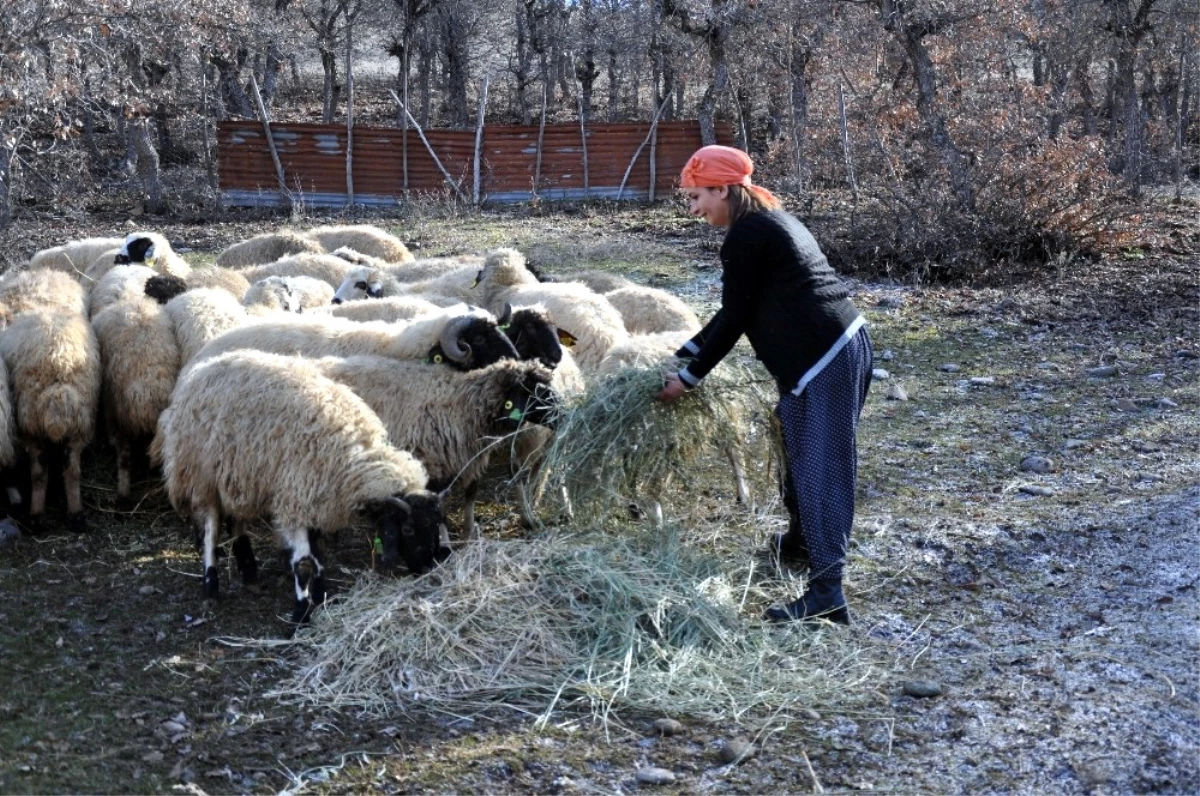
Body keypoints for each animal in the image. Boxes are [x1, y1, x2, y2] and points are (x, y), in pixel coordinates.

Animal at [0, 283, 100, 533]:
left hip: (30, 422)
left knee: (39, 471)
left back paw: (35, 515)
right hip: (79, 422)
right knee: (71, 470)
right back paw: (75, 515)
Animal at [154, 352, 446, 624]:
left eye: (435, 525)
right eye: (407, 529)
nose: (427, 567)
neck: (350, 460)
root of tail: (204, 366)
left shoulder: (314, 502)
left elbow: (318, 559)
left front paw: (319, 599)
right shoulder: (296, 498)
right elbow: (303, 564)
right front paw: (300, 616)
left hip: (240, 477)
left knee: (237, 523)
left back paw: (250, 575)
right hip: (202, 476)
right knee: (210, 531)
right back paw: (210, 587)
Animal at [316, 355, 564, 535]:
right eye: (535, 390)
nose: (564, 413)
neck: (466, 406)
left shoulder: (469, 457)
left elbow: (471, 493)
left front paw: (469, 531)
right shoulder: (432, 462)